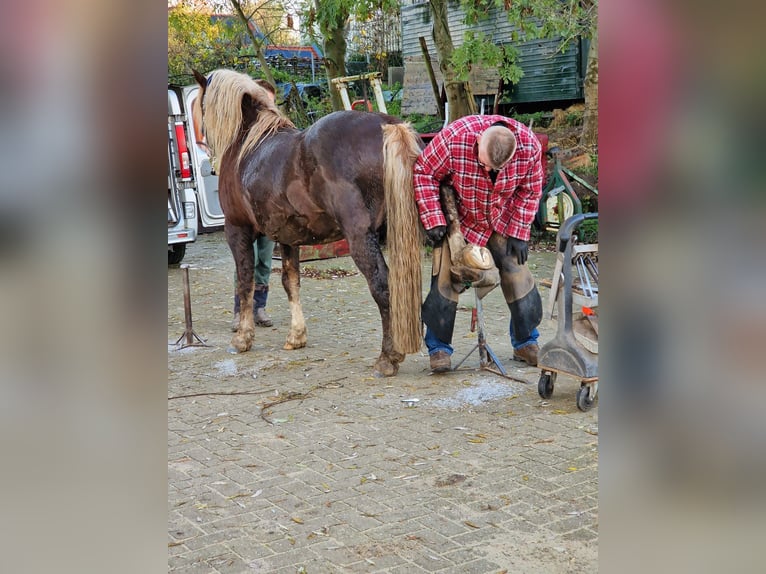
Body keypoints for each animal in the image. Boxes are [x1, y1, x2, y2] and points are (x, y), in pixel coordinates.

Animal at [192, 68, 426, 378]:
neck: (248, 144)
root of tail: (388, 125)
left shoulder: (237, 229)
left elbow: (245, 282)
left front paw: (242, 338)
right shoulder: (288, 238)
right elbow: (290, 282)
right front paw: (296, 337)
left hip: (361, 239)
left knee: (383, 287)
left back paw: (388, 358)